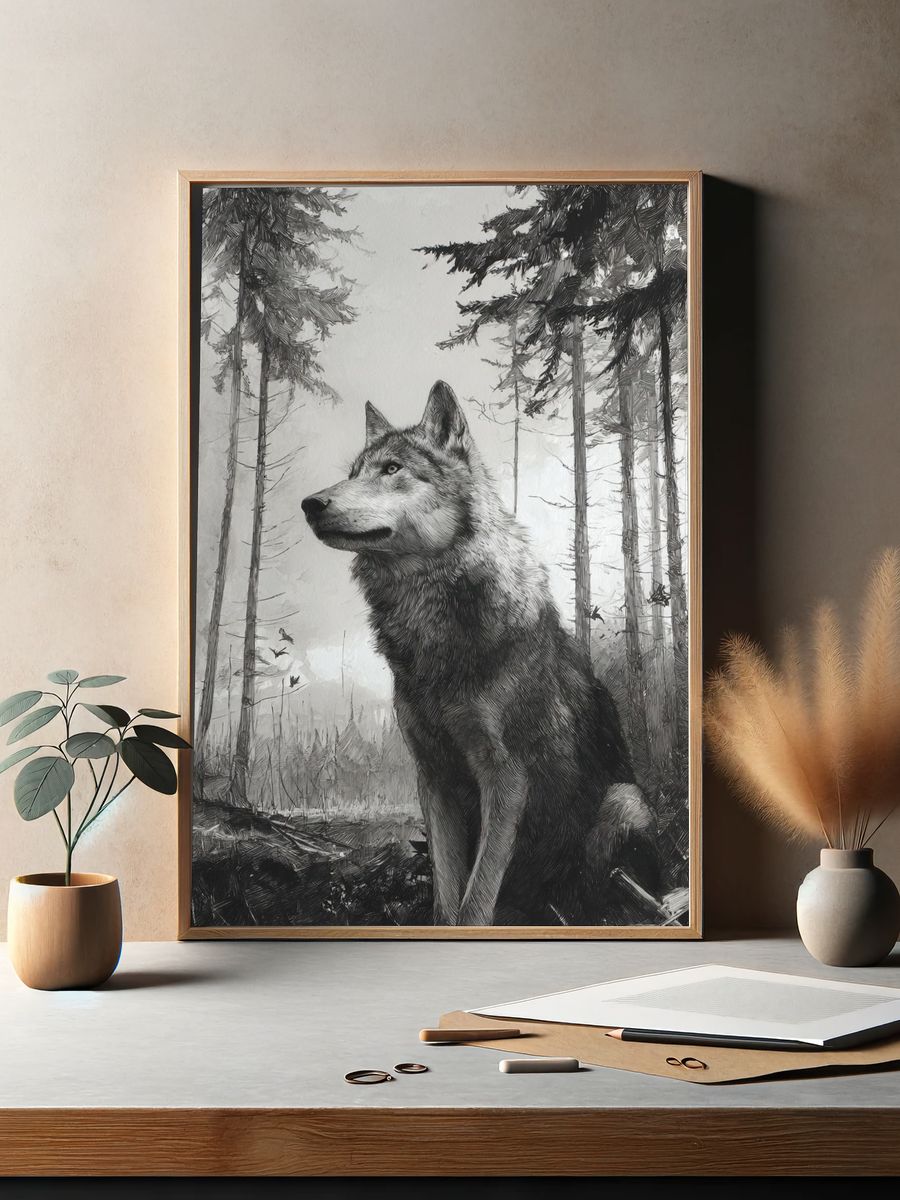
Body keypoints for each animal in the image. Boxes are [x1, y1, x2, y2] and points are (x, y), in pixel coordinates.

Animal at [302, 381, 655, 926]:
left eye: (392, 469)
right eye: (355, 472)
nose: (310, 503)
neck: (432, 627)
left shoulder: (505, 779)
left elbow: (476, 897)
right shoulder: (434, 779)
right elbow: (447, 897)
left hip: (625, 801)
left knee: (593, 885)